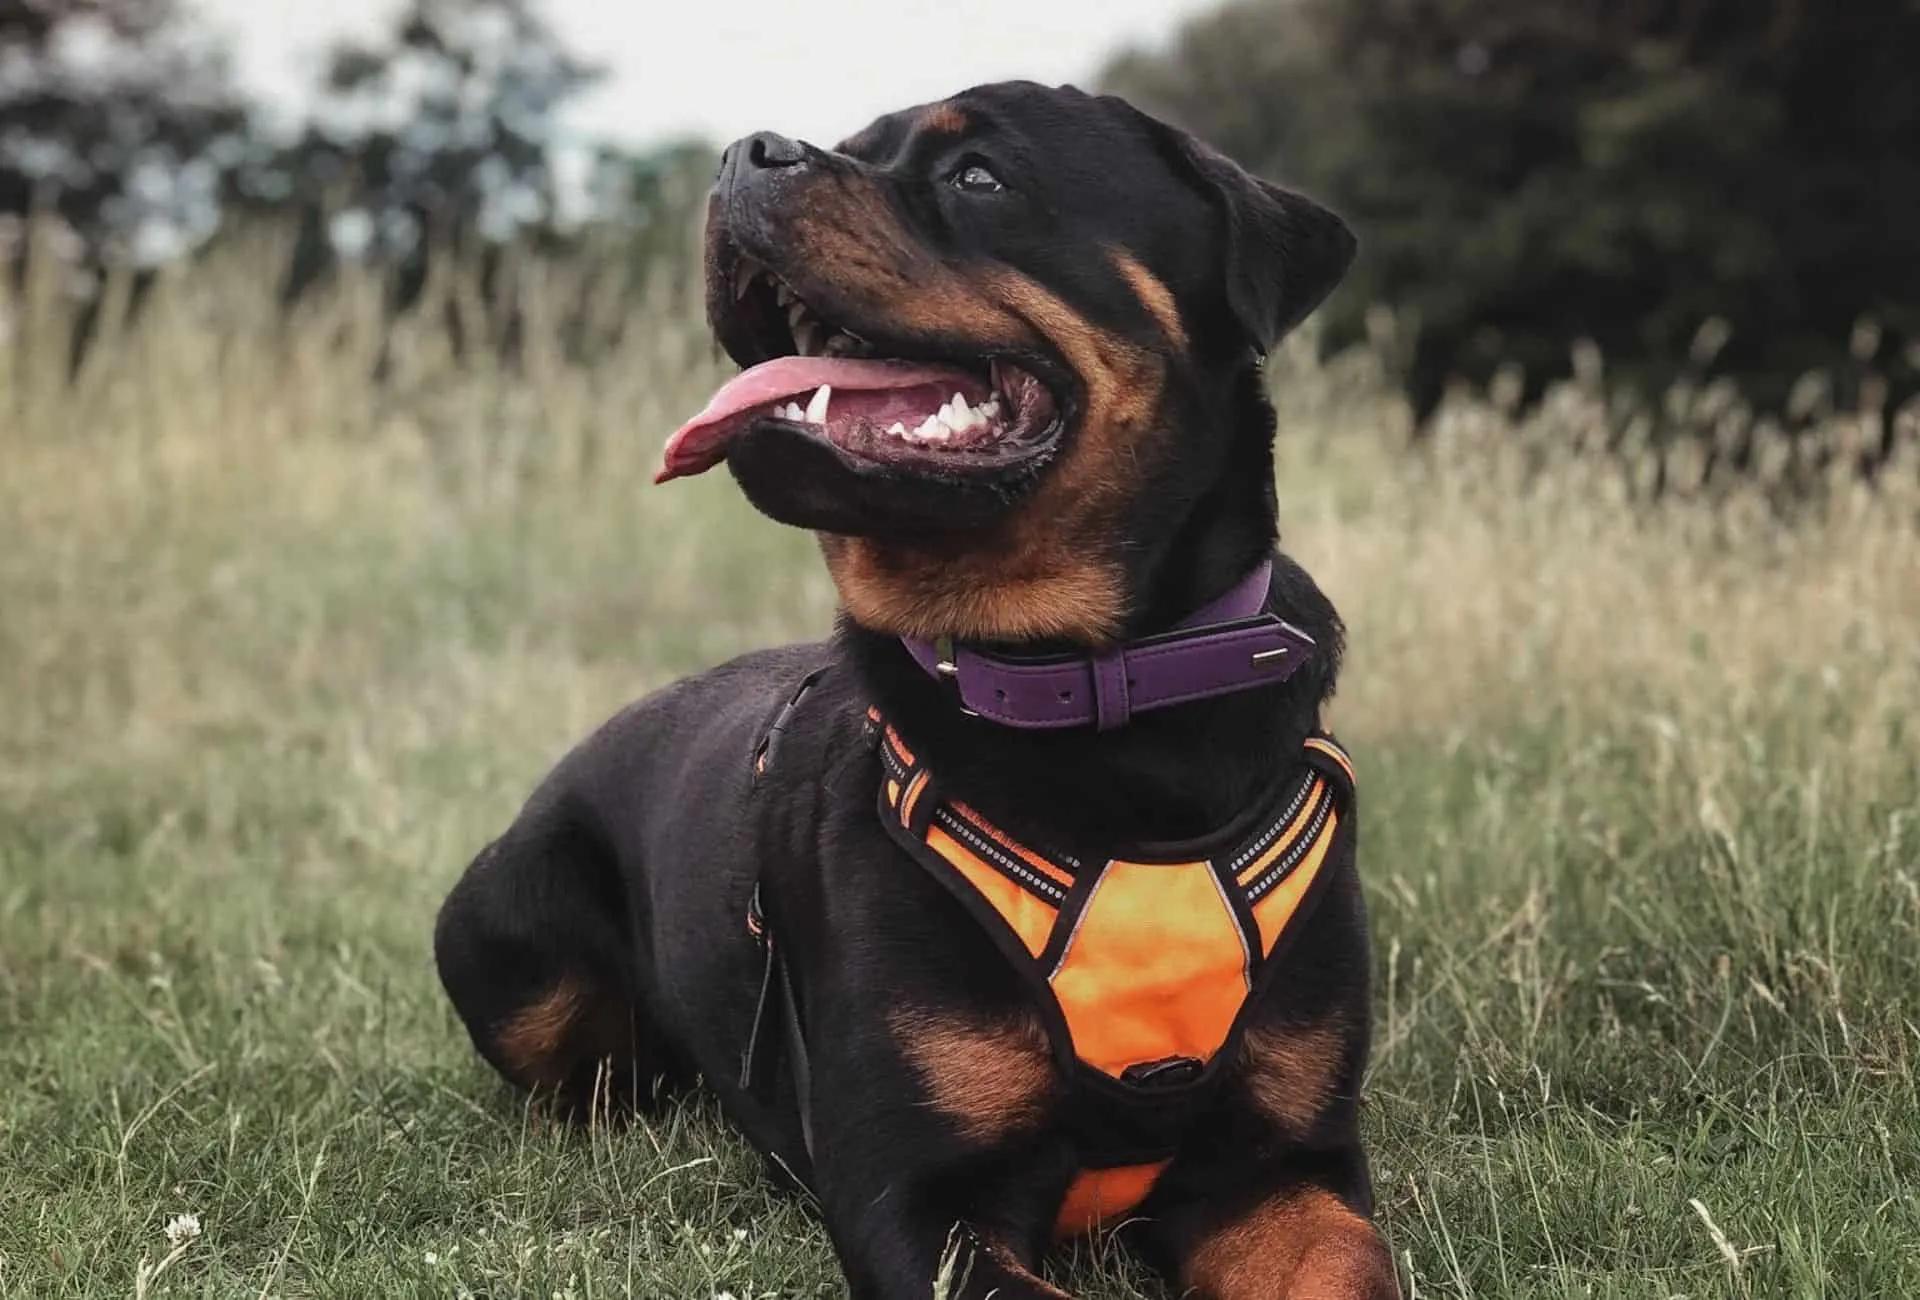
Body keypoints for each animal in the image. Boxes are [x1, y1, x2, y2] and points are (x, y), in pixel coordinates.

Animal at [435, 83, 1397, 1298]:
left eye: (978, 176)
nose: (745, 152)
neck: (1093, 695)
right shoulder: (917, 1199)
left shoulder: (1286, 1167)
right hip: (506, 935)